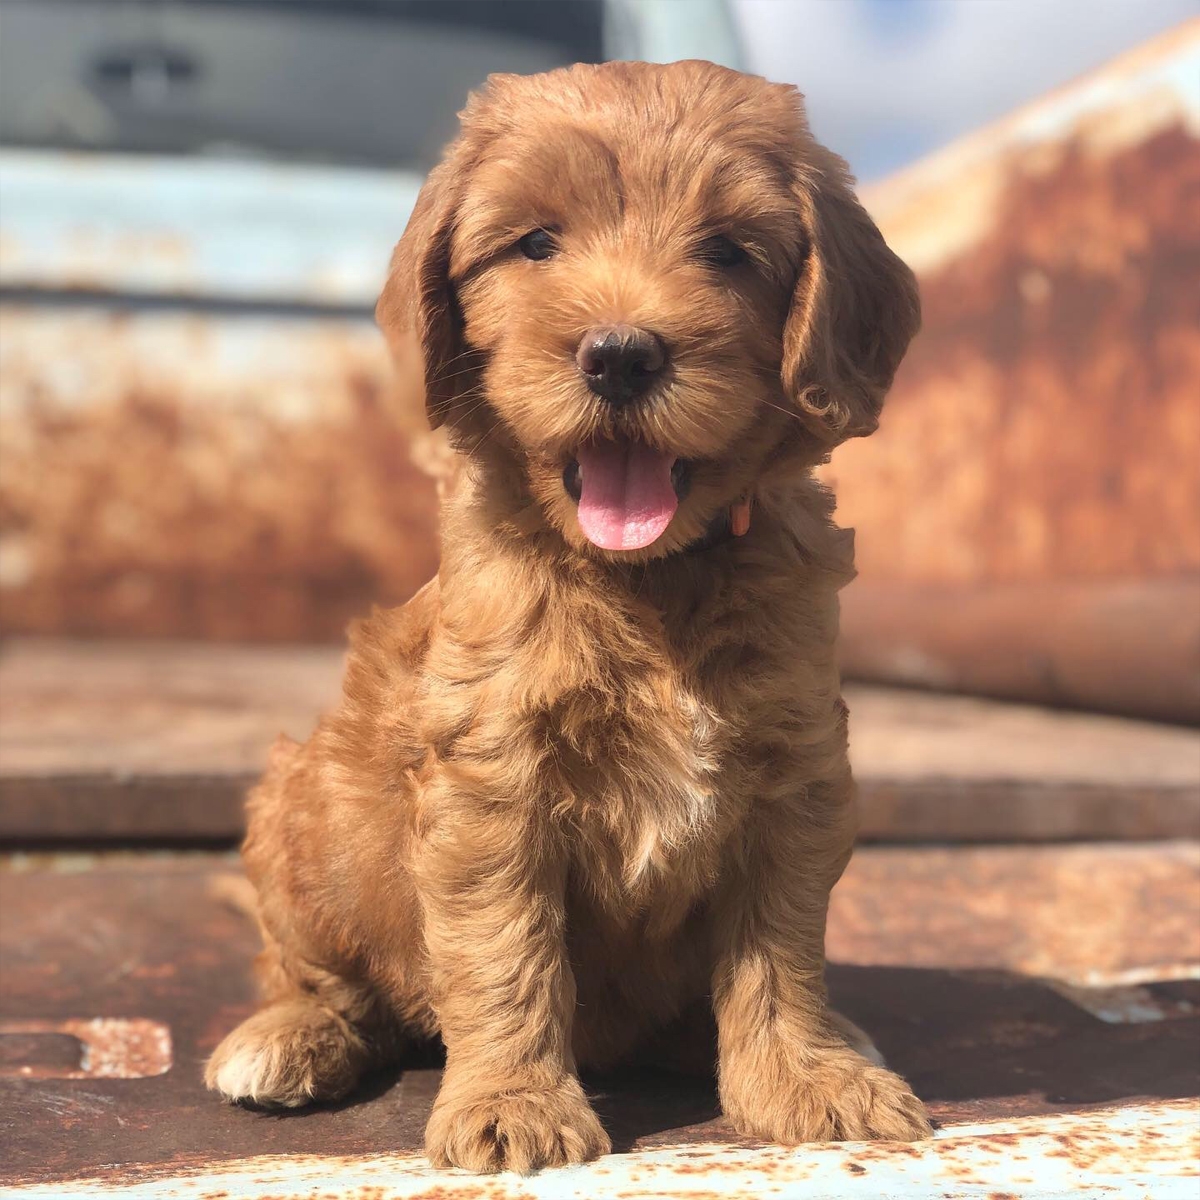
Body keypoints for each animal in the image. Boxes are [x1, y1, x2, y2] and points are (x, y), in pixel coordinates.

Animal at [206, 58, 926, 1171]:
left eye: (729, 252)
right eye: (535, 243)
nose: (621, 355)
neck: (644, 578)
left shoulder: (795, 775)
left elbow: (779, 948)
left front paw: (806, 1079)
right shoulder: (491, 782)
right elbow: (506, 950)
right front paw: (514, 1105)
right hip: (301, 812)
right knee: (317, 972)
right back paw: (288, 1037)